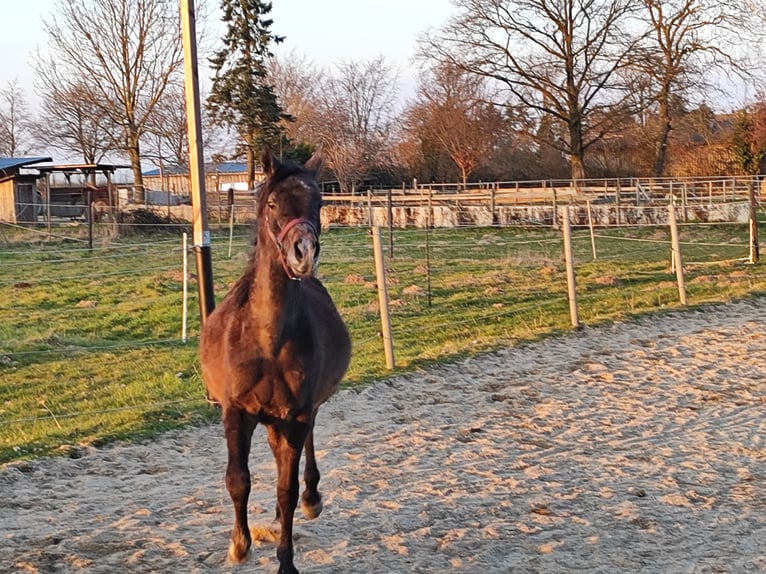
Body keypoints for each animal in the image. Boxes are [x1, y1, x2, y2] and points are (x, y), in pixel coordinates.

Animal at [200, 146, 352, 572]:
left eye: (319, 202)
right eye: (271, 203)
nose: (304, 252)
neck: (266, 341)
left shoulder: (295, 415)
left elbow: (286, 488)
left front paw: (286, 560)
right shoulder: (236, 412)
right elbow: (238, 479)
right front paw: (239, 544)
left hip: (300, 413)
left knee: (303, 455)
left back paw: (312, 498)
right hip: (267, 419)